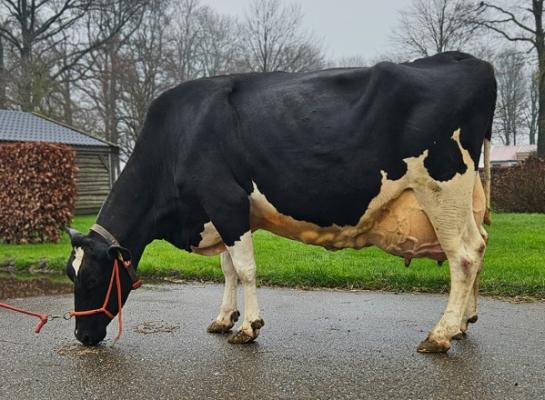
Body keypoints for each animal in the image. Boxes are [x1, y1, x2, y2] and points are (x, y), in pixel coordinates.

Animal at [65, 50, 498, 354]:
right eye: (70, 275)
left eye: (92, 279)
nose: (82, 335)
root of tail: (465, 59)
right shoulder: (220, 213)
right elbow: (228, 269)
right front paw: (224, 318)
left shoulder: (225, 200)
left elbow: (245, 268)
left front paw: (247, 328)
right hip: (465, 197)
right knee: (479, 245)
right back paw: (463, 323)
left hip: (442, 187)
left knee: (462, 256)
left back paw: (440, 335)